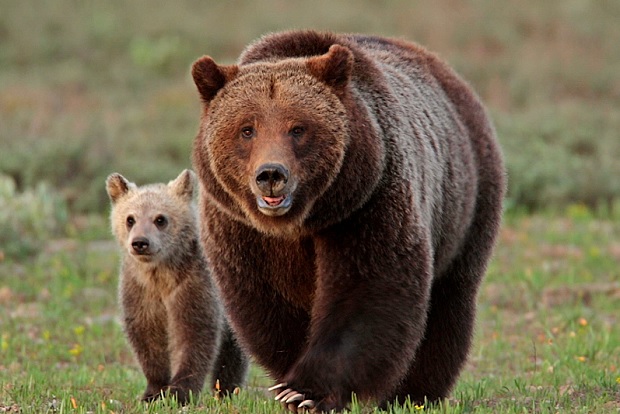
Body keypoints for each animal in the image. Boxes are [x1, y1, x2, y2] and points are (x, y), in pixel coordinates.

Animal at [191, 30, 506, 412]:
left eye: (298, 128)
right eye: (247, 129)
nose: (271, 174)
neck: (301, 223)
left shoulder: (366, 205)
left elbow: (367, 292)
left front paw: (306, 391)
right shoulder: (241, 230)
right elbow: (270, 306)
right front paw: (290, 385)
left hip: (465, 203)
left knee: (448, 302)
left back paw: (414, 394)